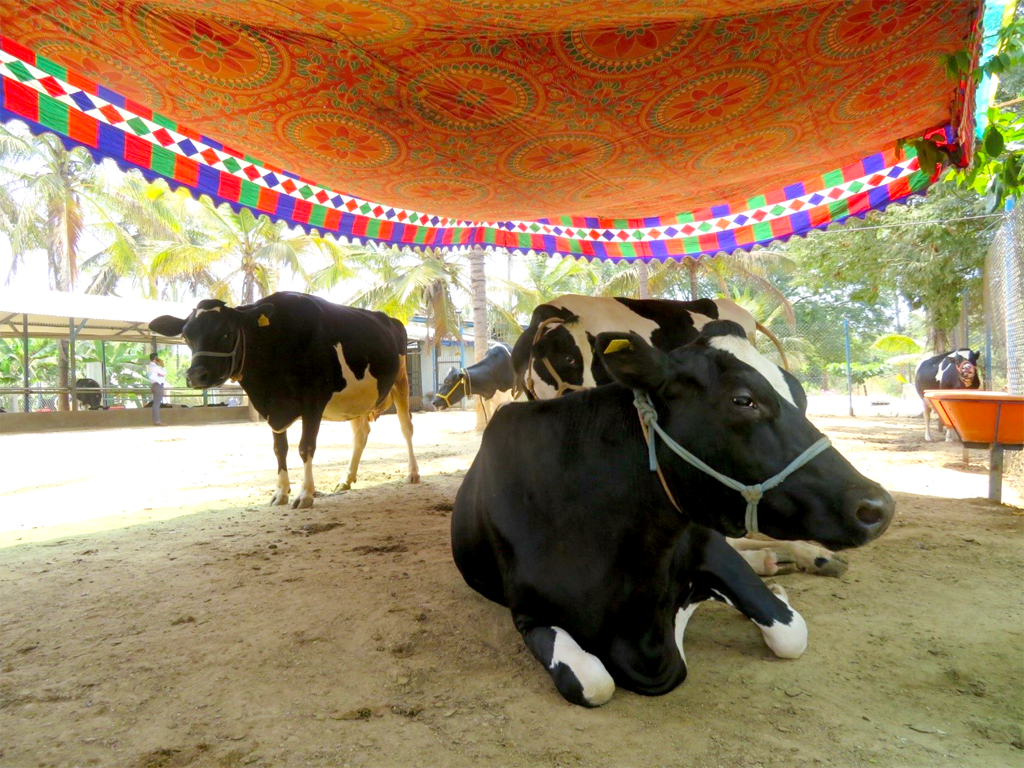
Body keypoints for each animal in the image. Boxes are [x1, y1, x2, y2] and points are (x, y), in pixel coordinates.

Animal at [149, 292, 419, 509]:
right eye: (186, 337)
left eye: (227, 333)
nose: (196, 375)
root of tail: (390, 319)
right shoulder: (273, 408)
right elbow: (280, 449)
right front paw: (280, 493)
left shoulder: (313, 402)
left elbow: (305, 447)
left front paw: (305, 494)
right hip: (355, 399)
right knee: (361, 434)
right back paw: (345, 479)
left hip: (401, 380)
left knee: (406, 428)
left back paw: (413, 473)